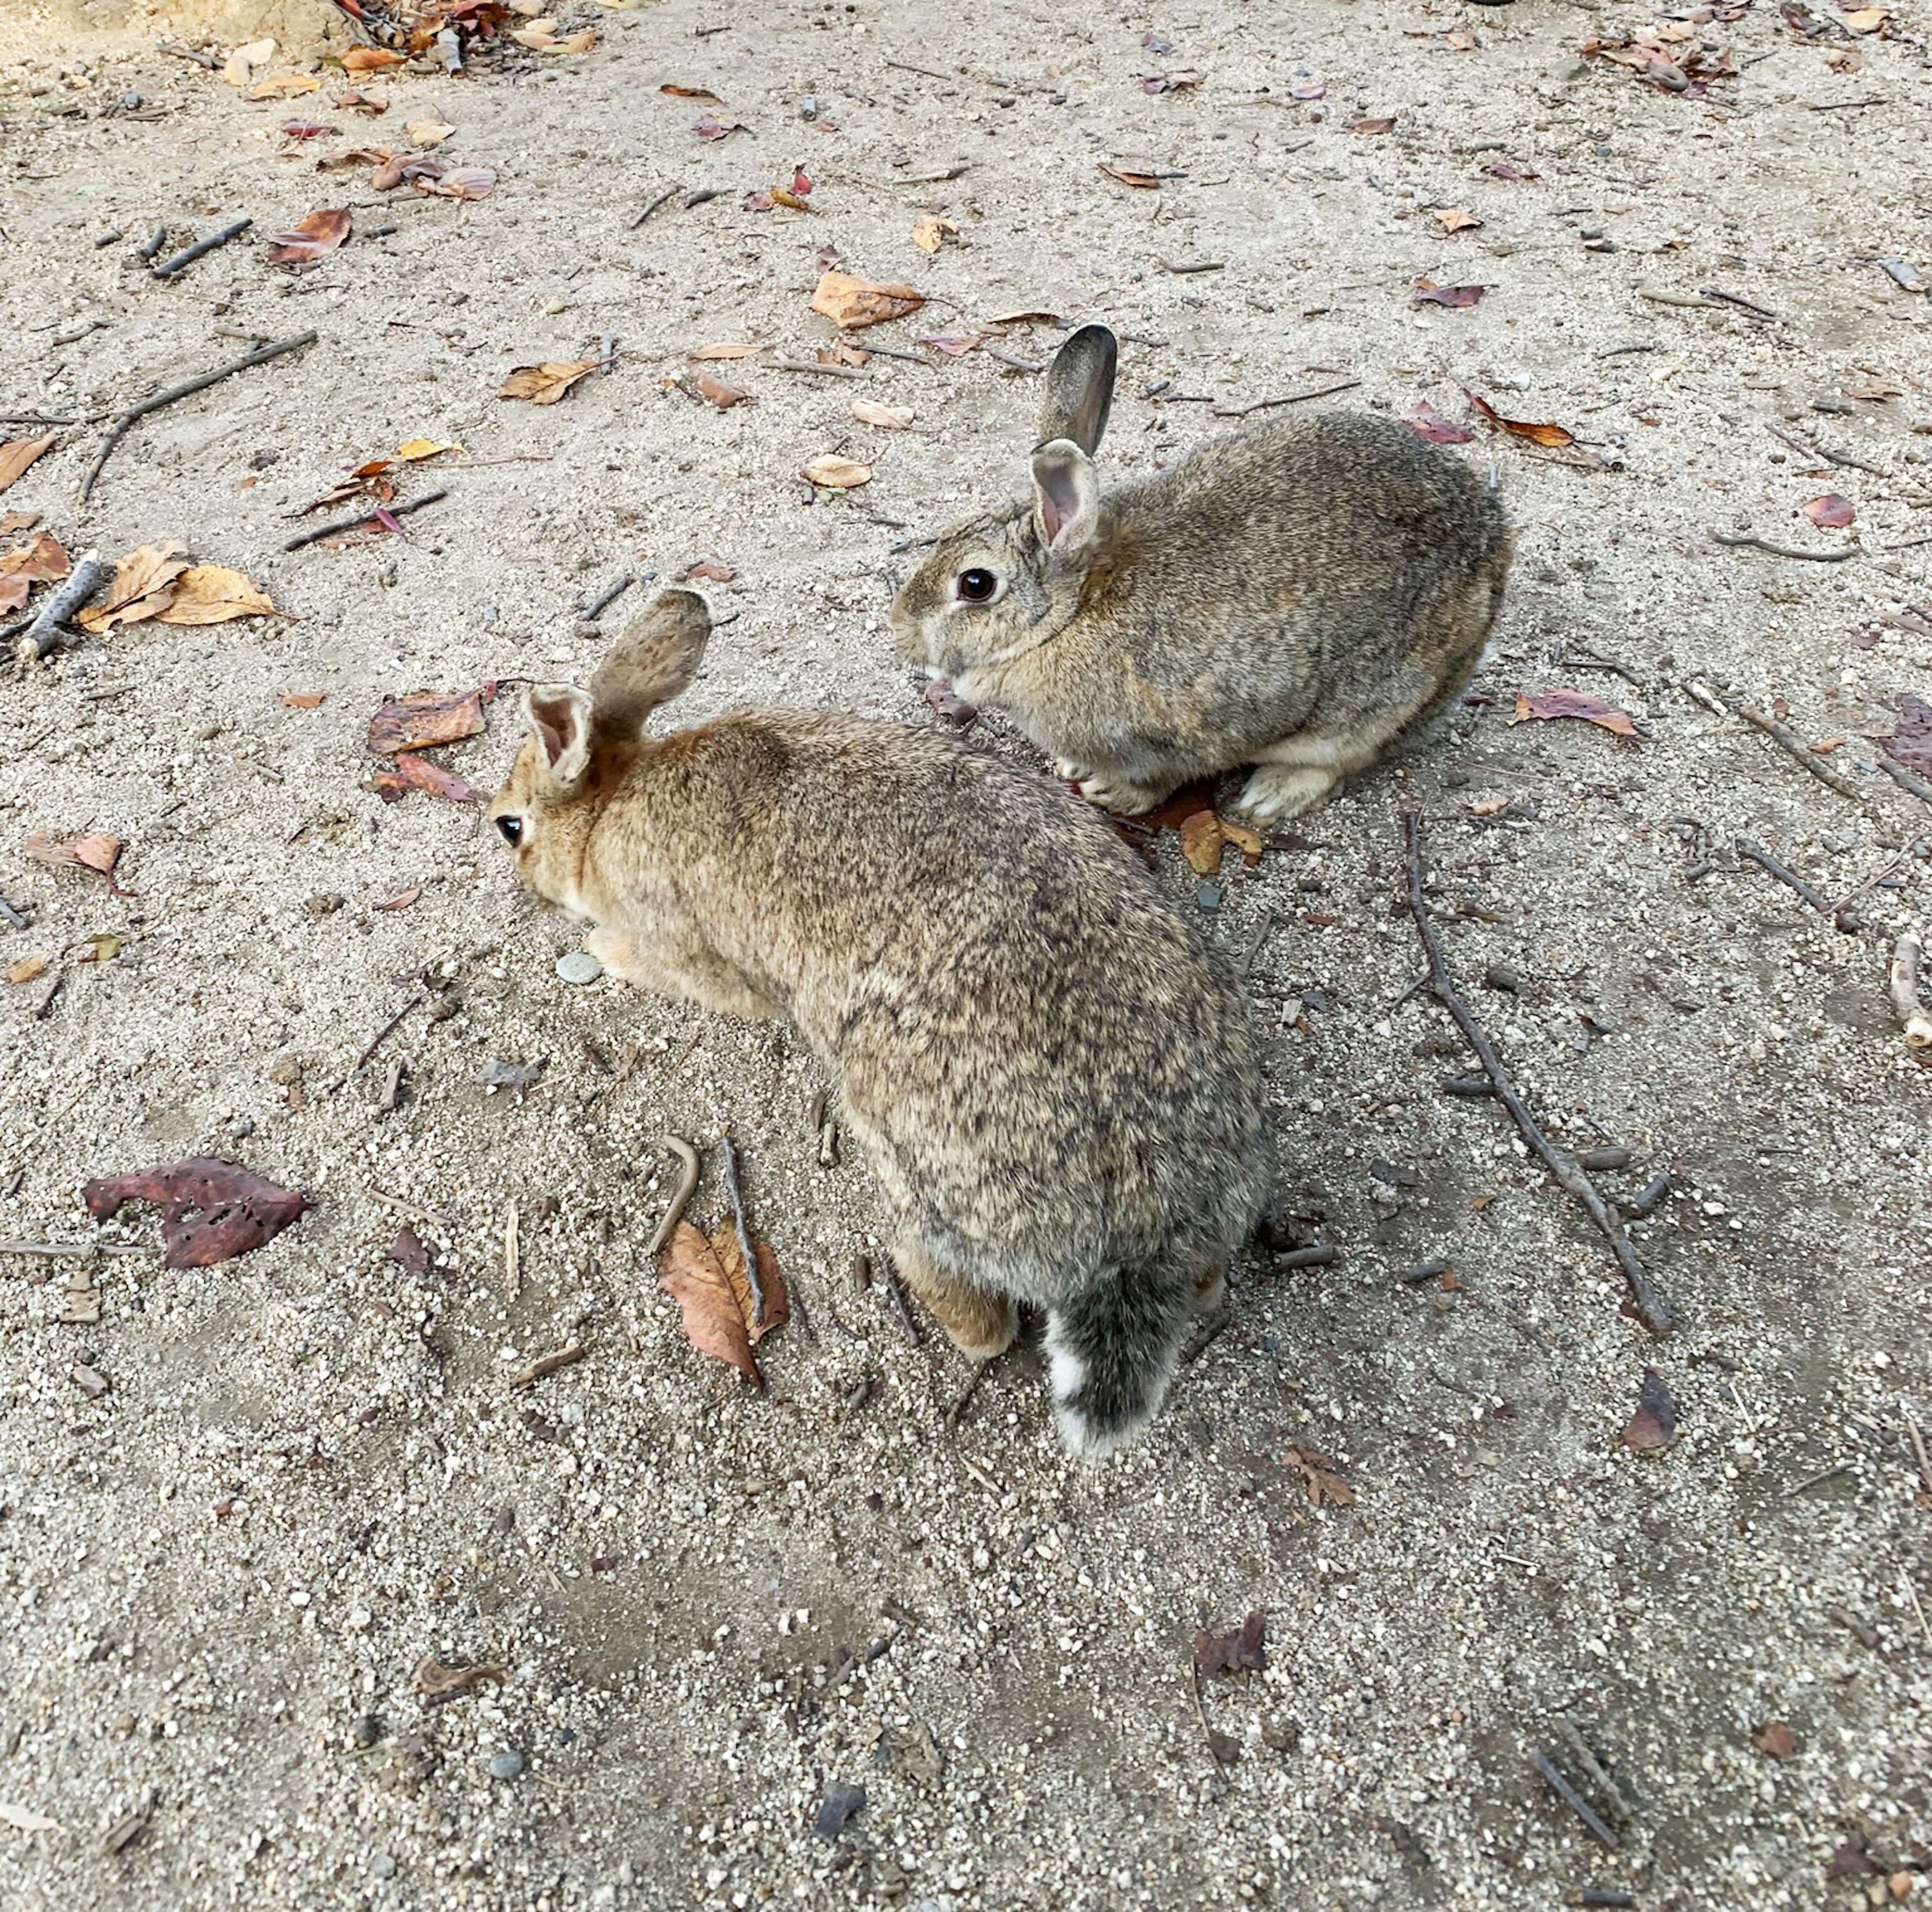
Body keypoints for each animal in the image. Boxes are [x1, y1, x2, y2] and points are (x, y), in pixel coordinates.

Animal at [487, 591, 1267, 1460]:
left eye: (512, 826)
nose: (514, 866)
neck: (607, 808)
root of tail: (1141, 1235)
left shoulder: (692, 950)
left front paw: (596, 948)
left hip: (915, 1163)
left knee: (982, 1320)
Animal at [884, 324, 1507, 830]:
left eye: (975, 585)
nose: (900, 632)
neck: (1068, 616)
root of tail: (1494, 532)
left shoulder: (1173, 737)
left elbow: (1163, 776)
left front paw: (1111, 791)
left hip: (1377, 704)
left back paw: (1271, 795)